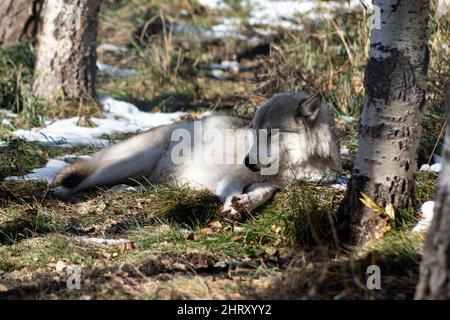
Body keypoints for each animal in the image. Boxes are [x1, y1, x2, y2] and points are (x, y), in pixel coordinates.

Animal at [53, 91, 342, 219]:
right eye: (253, 130)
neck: (291, 166)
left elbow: (263, 193)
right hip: (127, 163)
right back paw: (56, 192)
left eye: (270, 133)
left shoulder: (272, 184)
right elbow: (233, 190)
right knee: (80, 179)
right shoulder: (229, 179)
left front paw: (245, 204)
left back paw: (126, 190)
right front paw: (232, 205)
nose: (247, 161)